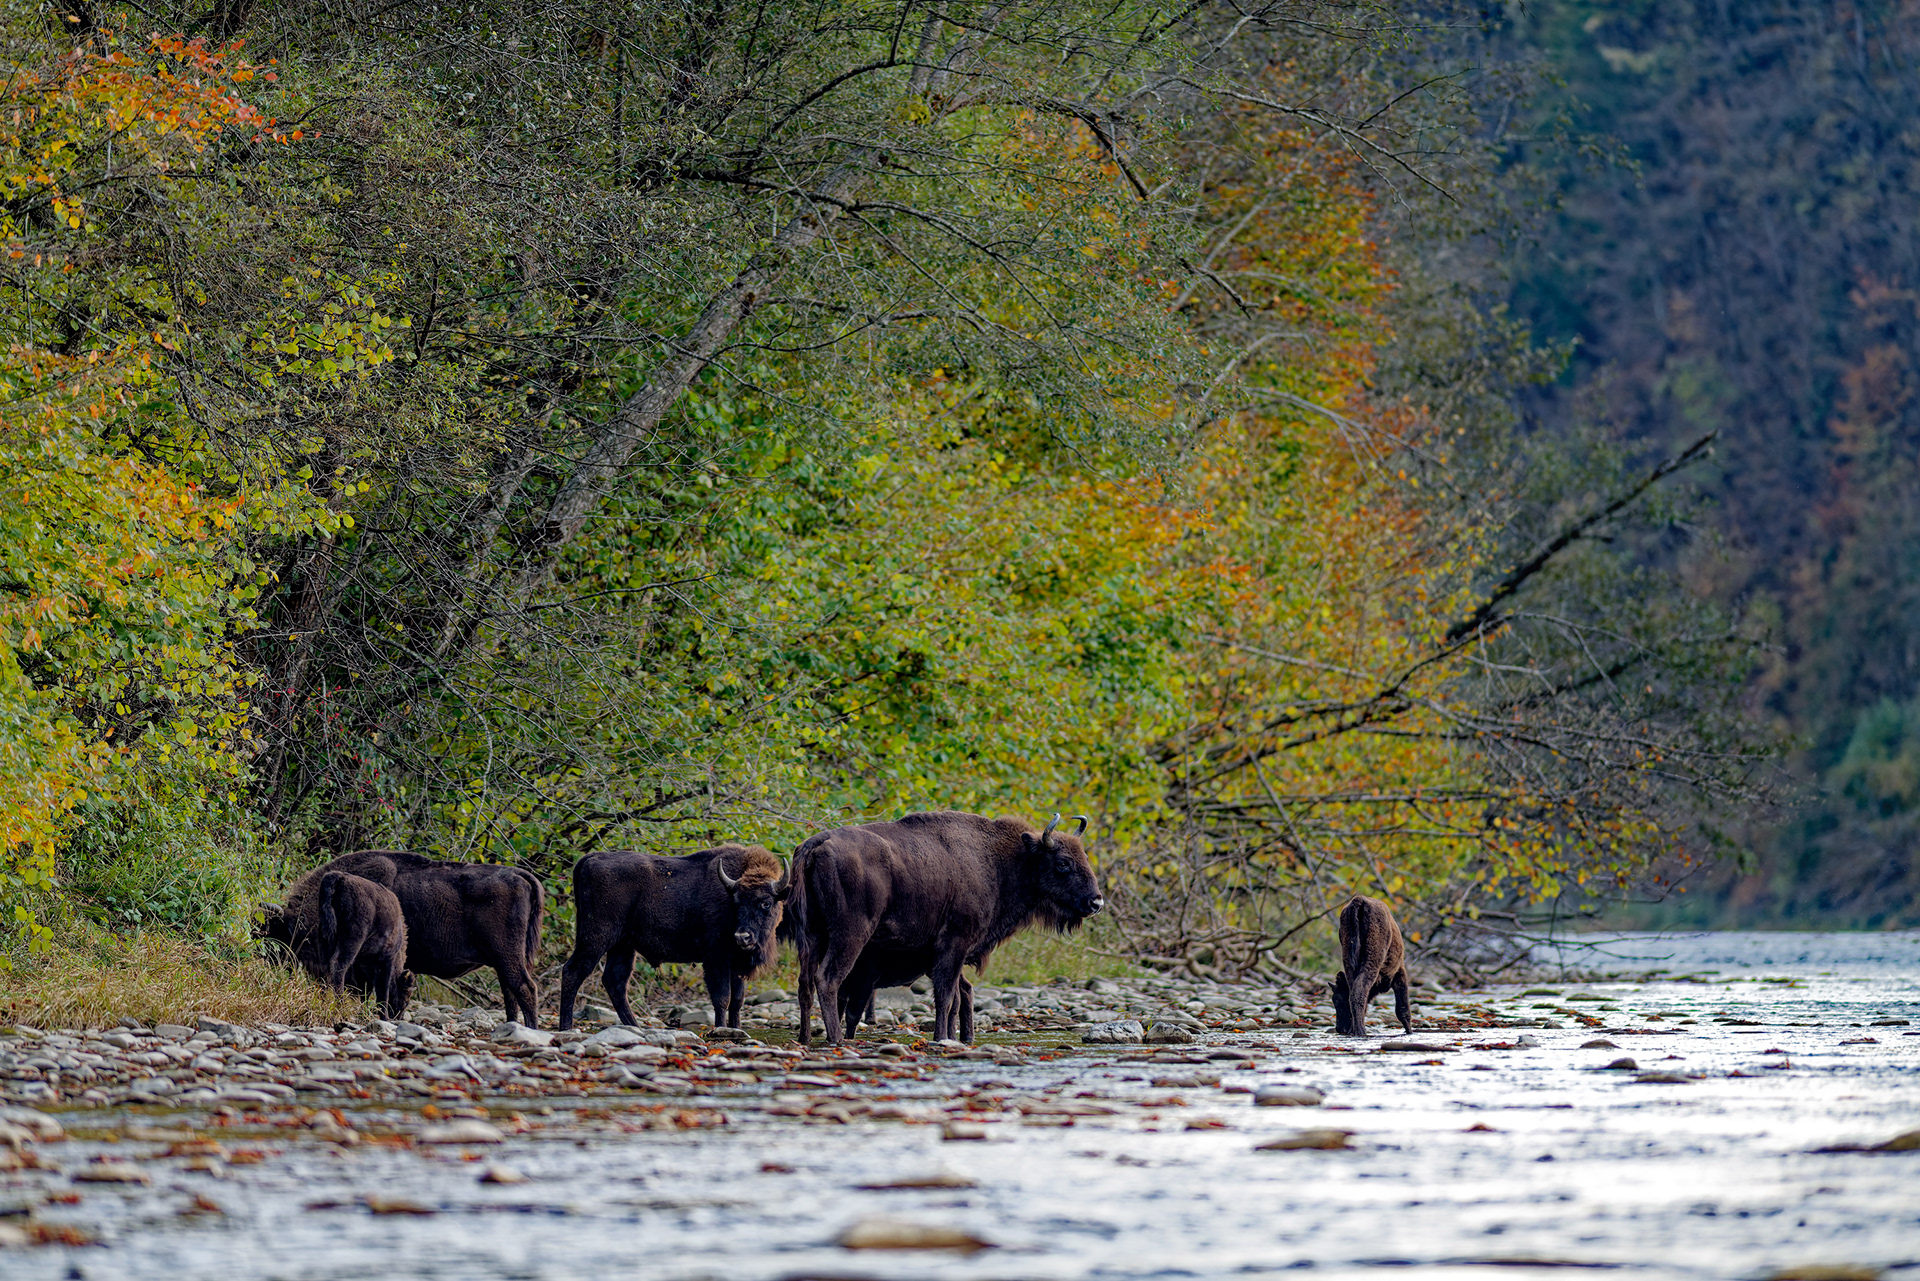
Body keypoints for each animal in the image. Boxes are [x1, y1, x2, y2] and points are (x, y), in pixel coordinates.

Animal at [265, 850, 544, 1026]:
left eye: (284, 933)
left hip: (507, 956)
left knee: (524, 988)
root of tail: (520, 875)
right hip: (503, 961)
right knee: (510, 992)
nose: (273, 964)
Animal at [557, 844, 791, 1031]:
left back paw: (635, 1026)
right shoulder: (717, 959)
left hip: (623, 946)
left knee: (615, 981)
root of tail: (591, 858)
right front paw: (721, 1030)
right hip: (596, 938)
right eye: (736, 902)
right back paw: (566, 1027)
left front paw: (737, 1030)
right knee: (573, 972)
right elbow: (722, 998)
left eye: (766, 902)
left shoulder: (737, 965)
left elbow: (737, 1000)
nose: (743, 937)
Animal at [789, 810, 1103, 1045]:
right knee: (828, 979)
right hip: (850, 935)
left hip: (812, 936)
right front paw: (942, 1037)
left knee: (805, 984)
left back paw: (805, 1038)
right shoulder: (954, 945)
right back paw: (836, 1039)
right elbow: (947, 995)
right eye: (1063, 863)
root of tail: (816, 843)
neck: (1002, 861)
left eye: (1084, 857)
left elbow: (955, 994)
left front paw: (953, 1037)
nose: (1096, 901)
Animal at [1332, 894, 1412, 1036]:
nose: (1340, 1029)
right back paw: (1361, 1031)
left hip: (1348, 960)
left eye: (1337, 999)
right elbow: (1403, 1009)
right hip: (1372, 960)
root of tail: (1358, 900)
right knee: (1360, 991)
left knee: (1355, 993)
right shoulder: (1399, 973)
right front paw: (1410, 1032)